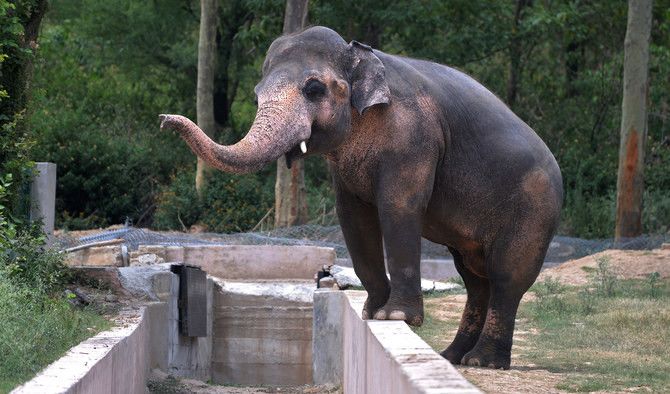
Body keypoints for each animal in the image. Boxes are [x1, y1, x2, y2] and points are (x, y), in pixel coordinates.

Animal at [160, 25, 564, 370]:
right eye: (256, 95)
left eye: (314, 89)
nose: (164, 120)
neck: (359, 55)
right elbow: (352, 215)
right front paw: (372, 312)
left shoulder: (413, 138)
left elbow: (399, 207)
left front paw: (396, 316)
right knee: (474, 279)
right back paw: (453, 357)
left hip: (535, 209)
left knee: (506, 278)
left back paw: (482, 362)